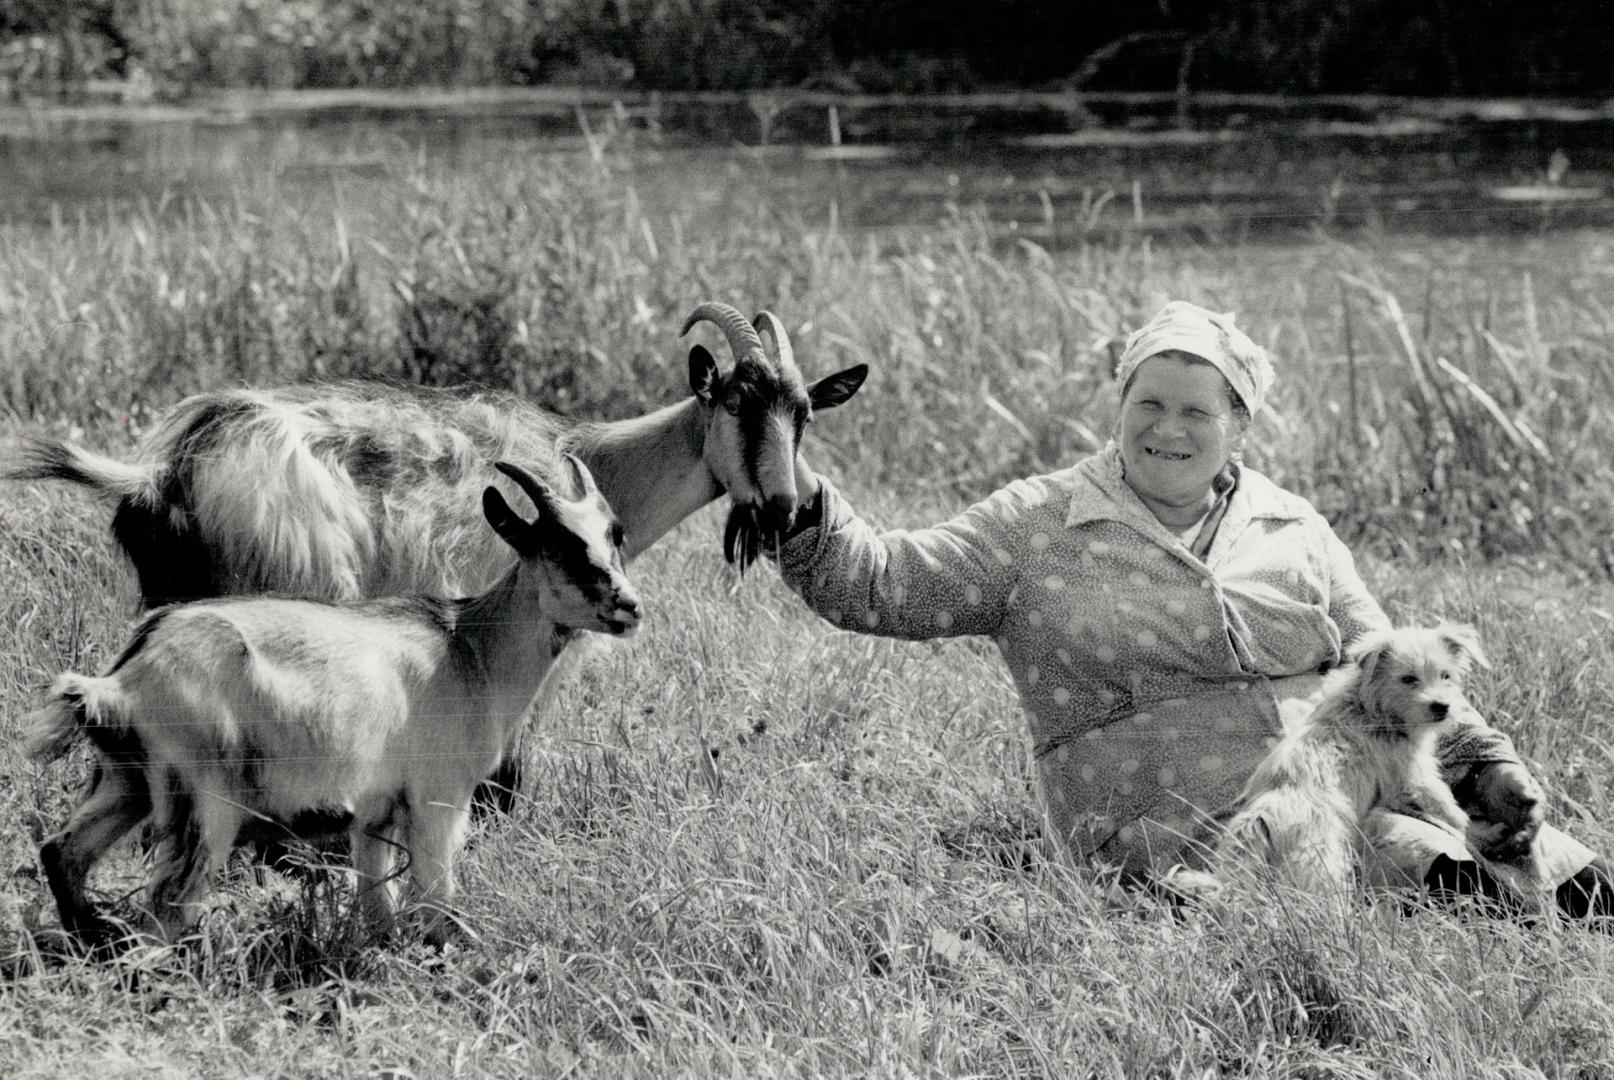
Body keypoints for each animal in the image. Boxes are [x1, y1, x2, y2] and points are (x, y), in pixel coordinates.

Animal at [1213, 623, 1491, 891]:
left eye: (1446, 675)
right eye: (1408, 679)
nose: (1442, 707)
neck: (1370, 708)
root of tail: (1263, 813)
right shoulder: (1412, 776)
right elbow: (1444, 804)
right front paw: (1471, 829)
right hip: (1320, 861)